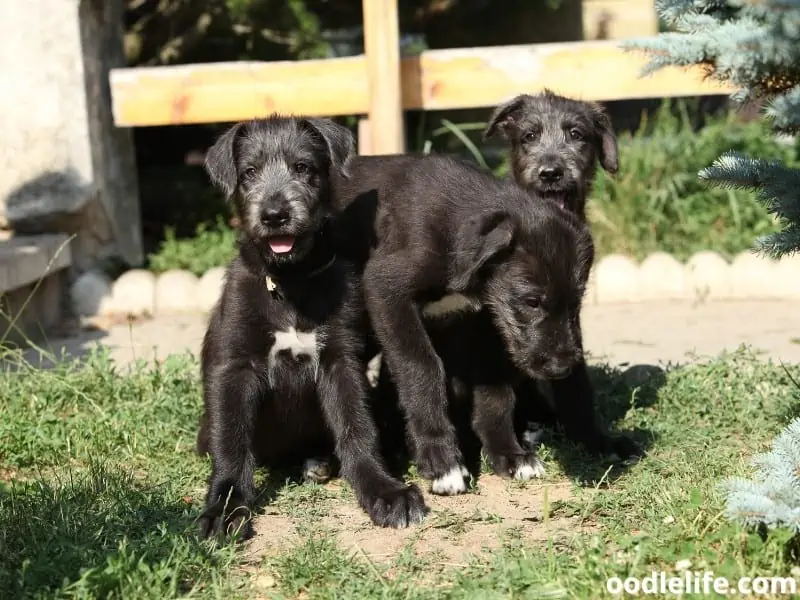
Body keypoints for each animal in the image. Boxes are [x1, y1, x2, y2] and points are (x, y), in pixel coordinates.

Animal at [197, 115, 428, 536]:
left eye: (302, 167)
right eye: (249, 172)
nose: (274, 215)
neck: (290, 282)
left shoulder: (341, 362)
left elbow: (357, 428)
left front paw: (384, 491)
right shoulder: (234, 367)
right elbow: (232, 440)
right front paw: (224, 506)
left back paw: (321, 462)